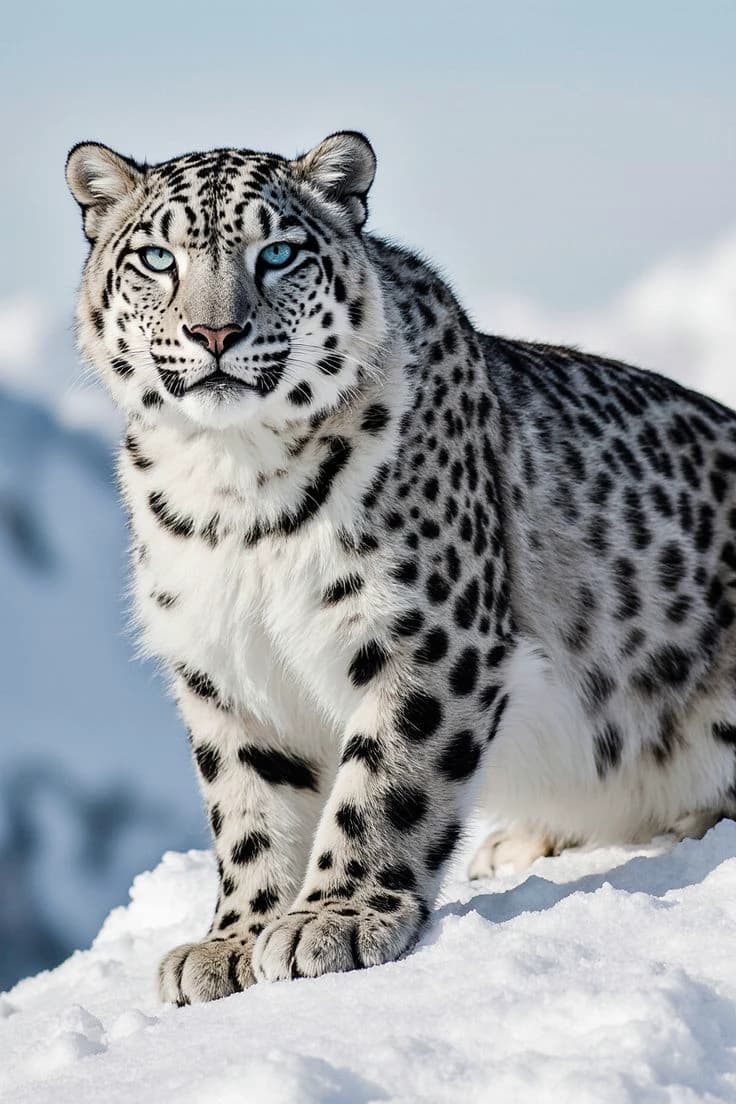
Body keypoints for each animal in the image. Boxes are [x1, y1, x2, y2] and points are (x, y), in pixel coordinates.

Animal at [66, 131, 736, 1004]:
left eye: (277, 253)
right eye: (156, 257)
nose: (215, 333)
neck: (234, 490)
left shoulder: (426, 635)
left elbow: (387, 783)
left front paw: (333, 921)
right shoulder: (224, 668)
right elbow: (248, 811)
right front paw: (230, 941)